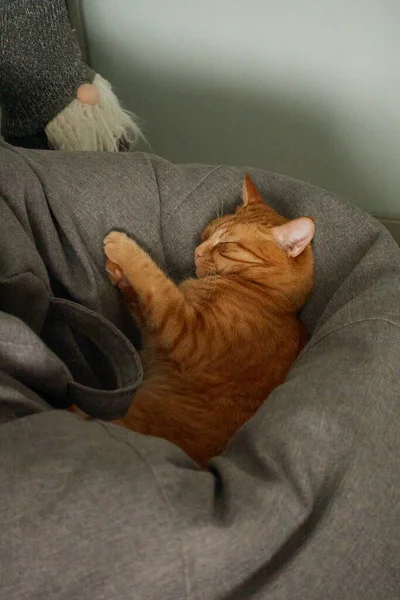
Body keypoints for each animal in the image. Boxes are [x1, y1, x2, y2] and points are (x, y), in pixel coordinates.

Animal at [104, 176, 316, 466]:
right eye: (207, 233)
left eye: (225, 246)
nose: (197, 251)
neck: (266, 296)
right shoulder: (154, 332)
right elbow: (143, 302)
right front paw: (119, 274)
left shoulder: (186, 331)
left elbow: (155, 281)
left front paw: (123, 247)